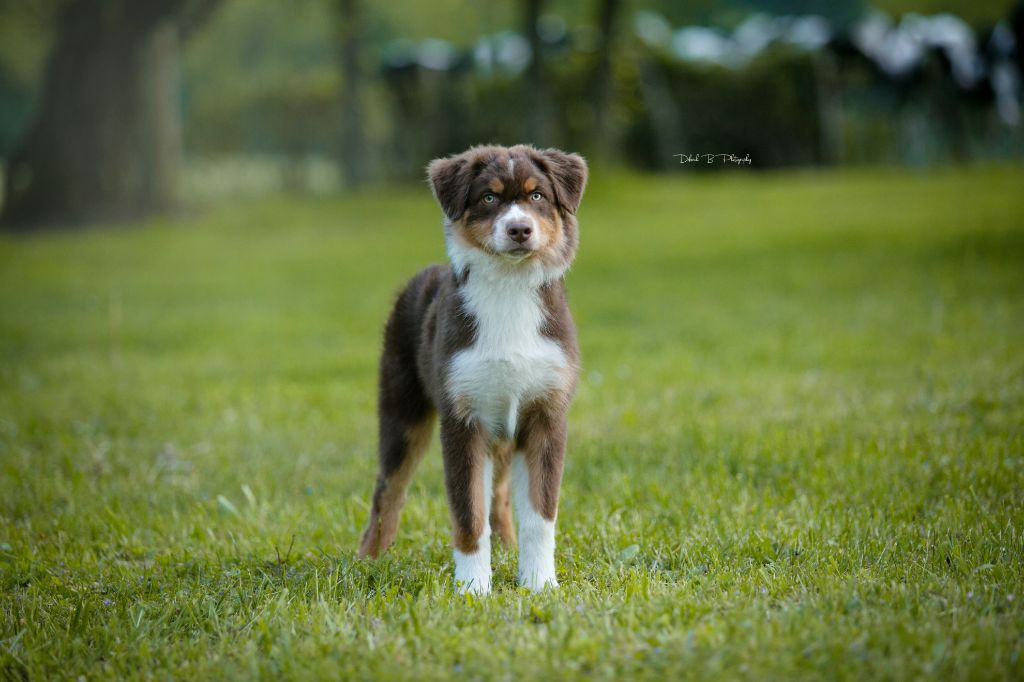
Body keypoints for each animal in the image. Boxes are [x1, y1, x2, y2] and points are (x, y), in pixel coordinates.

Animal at [358, 144, 585, 593]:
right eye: (489, 197)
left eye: (537, 196)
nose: (519, 230)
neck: (510, 287)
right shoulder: (462, 419)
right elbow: (467, 514)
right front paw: (473, 589)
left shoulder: (546, 415)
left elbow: (539, 514)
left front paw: (539, 583)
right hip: (403, 413)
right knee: (388, 489)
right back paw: (370, 559)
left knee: (499, 495)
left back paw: (508, 550)